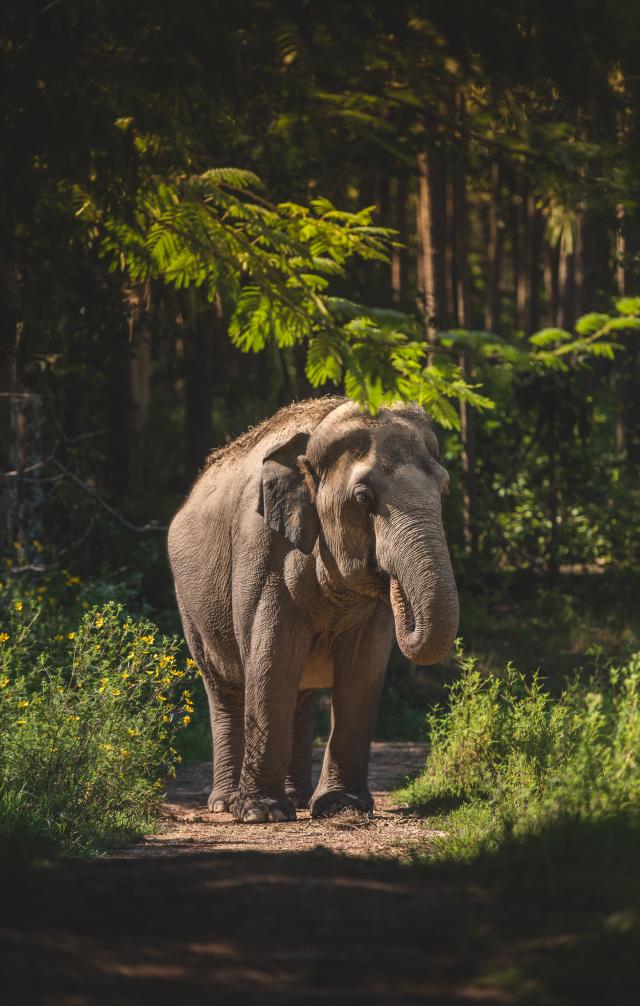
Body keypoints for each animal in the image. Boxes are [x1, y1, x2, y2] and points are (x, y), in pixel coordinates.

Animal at [168, 396, 459, 823]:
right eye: (363, 498)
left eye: (444, 490)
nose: (396, 587)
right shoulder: (262, 552)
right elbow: (272, 660)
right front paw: (262, 814)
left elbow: (363, 670)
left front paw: (341, 806)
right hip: (189, 603)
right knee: (224, 689)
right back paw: (225, 803)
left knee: (301, 697)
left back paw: (300, 798)